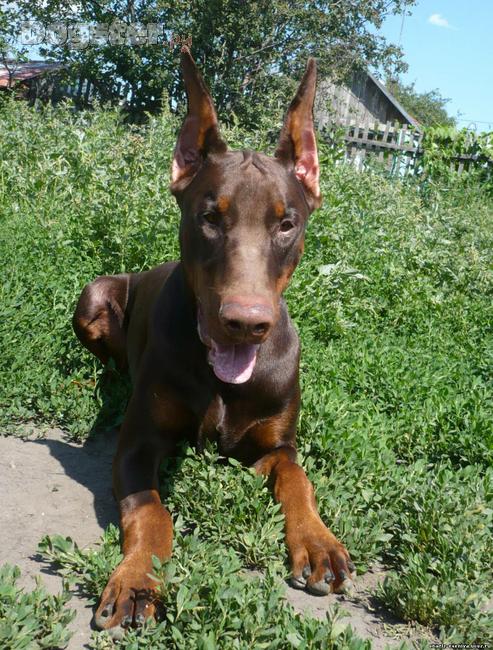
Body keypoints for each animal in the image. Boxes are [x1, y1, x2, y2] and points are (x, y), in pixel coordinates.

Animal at [73, 47, 354, 638]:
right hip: (92, 297)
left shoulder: (276, 444)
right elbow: (151, 510)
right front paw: (138, 580)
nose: (245, 324)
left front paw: (318, 541)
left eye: (287, 223)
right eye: (209, 217)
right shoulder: (139, 445)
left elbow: (298, 476)